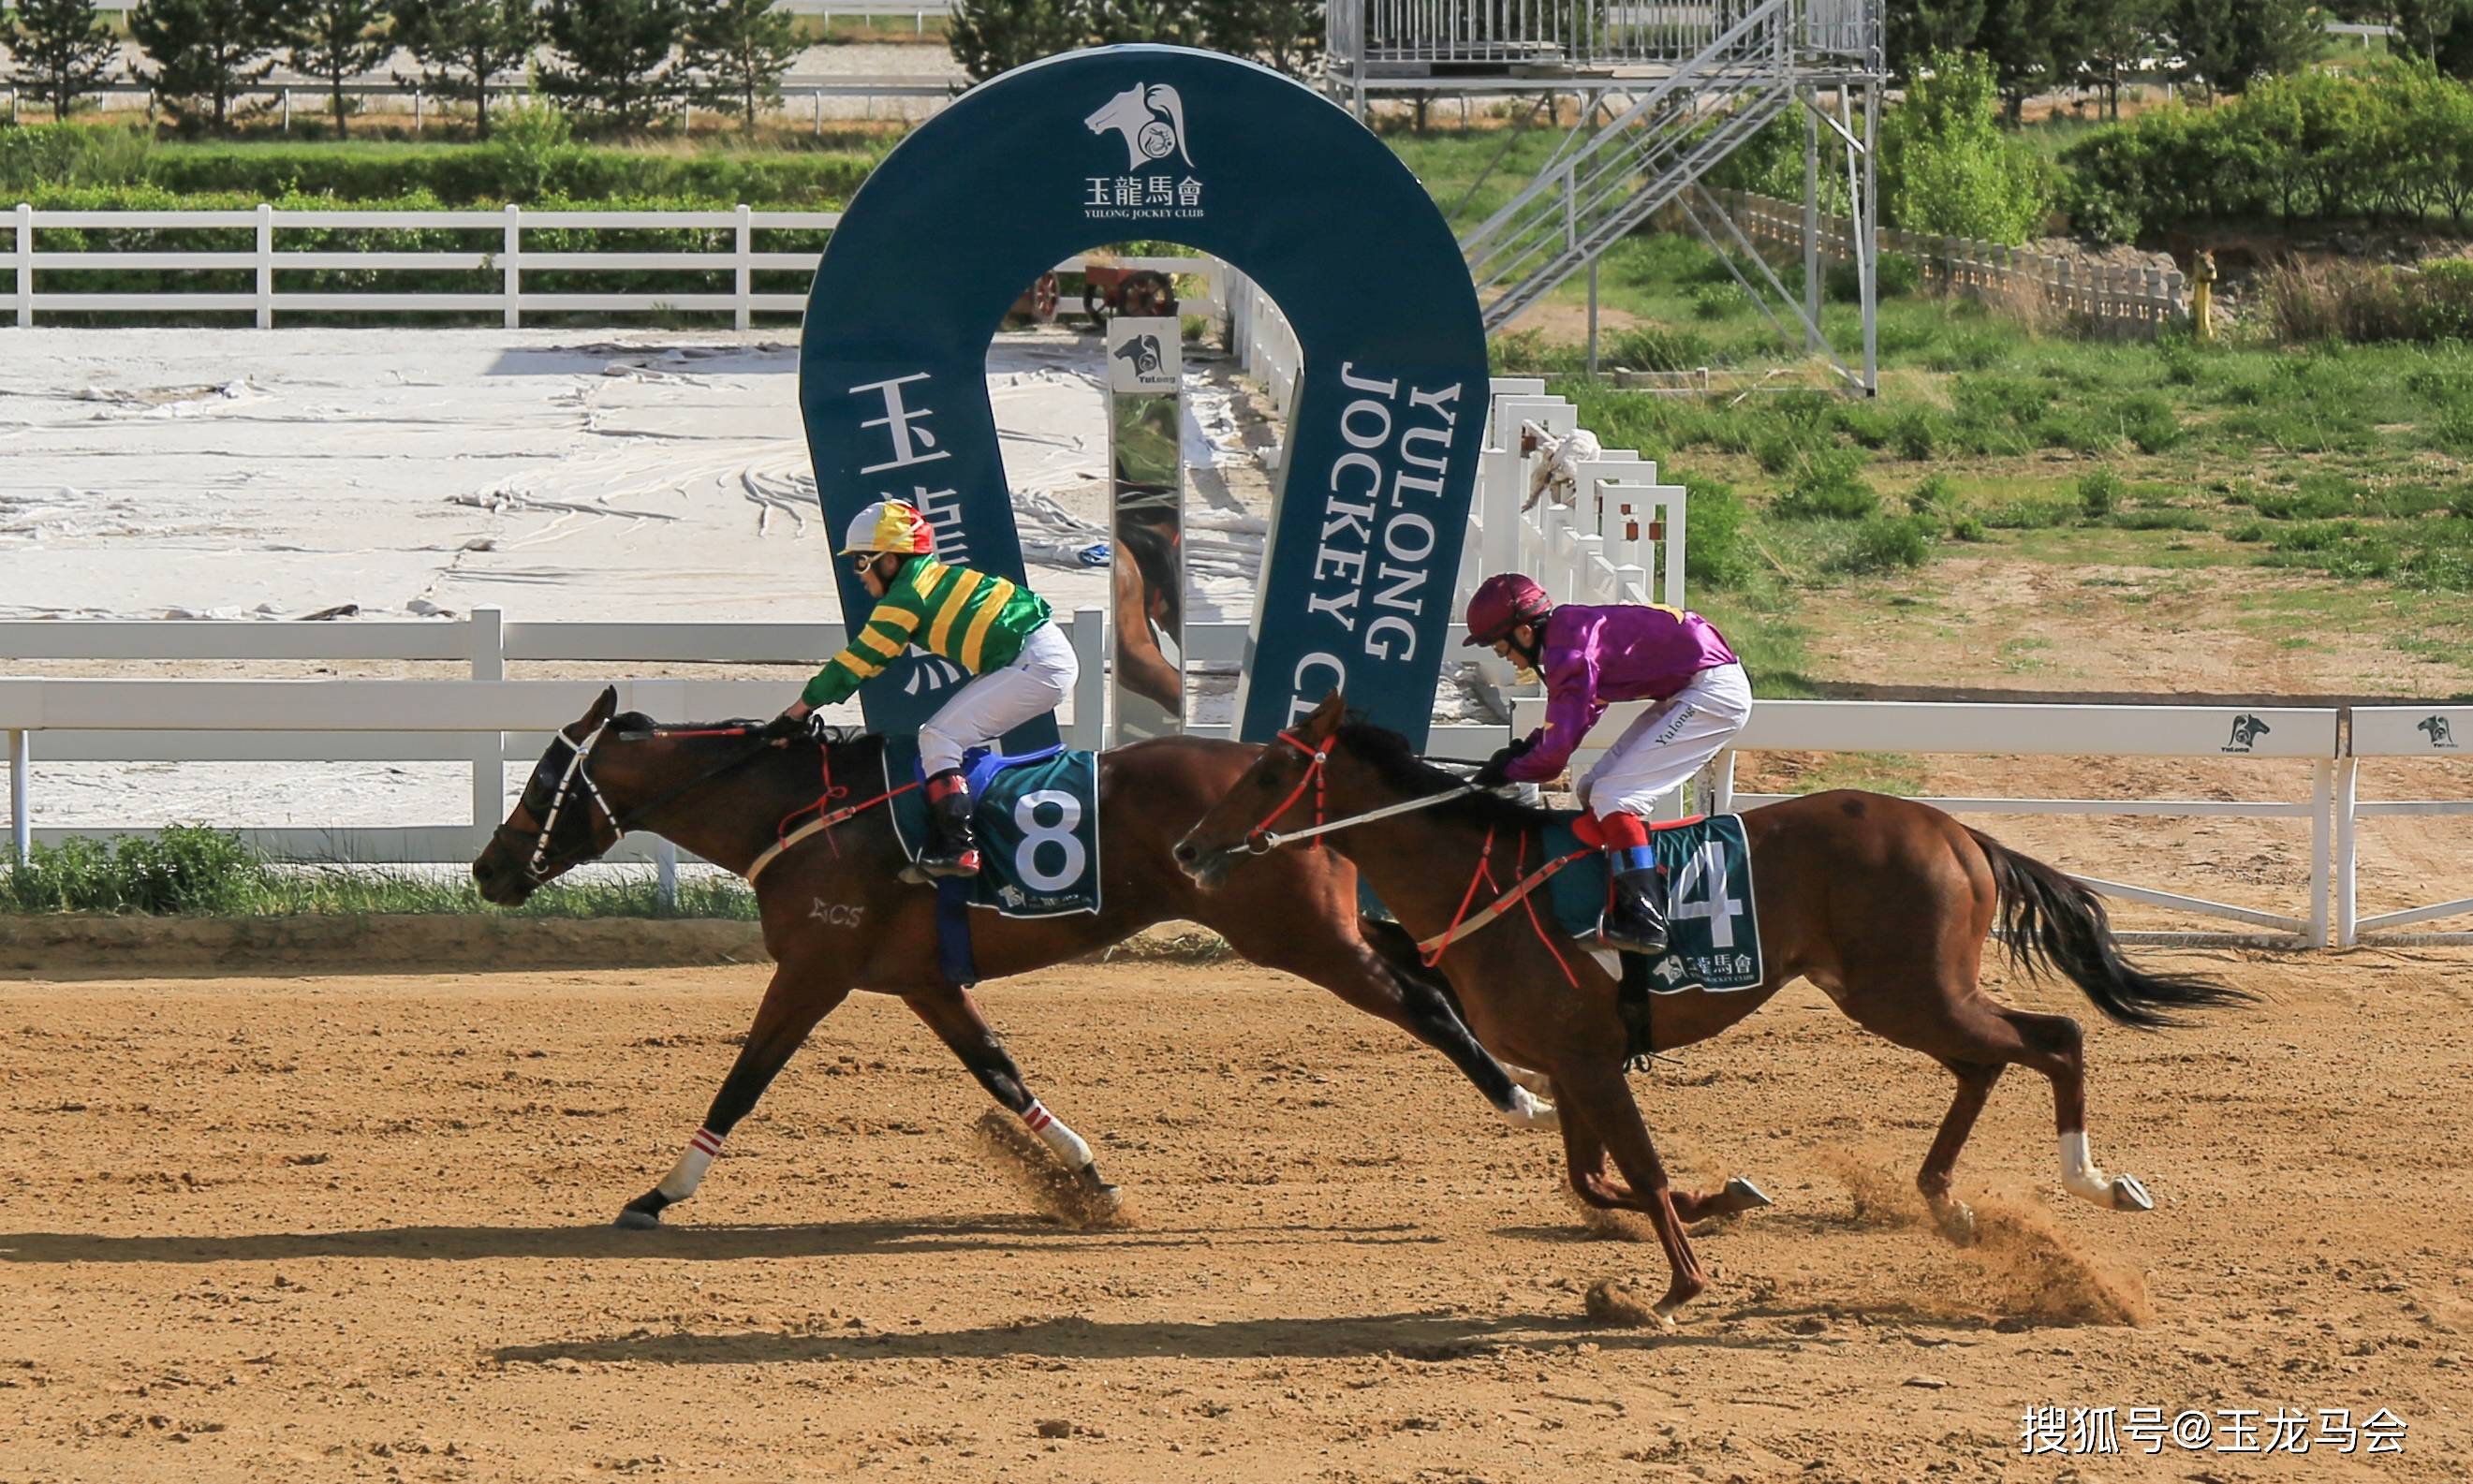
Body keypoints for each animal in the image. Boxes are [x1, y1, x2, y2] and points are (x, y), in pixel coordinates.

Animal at [469, 686, 1553, 1230]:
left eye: (541, 782)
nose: (488, 868)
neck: (799, 811)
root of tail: (1294, 770)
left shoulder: (814, 971)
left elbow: (741, 1081)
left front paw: (659, 1194)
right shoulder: (923, 981)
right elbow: (998, 1070)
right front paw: (1085, 1176)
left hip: (1298, 934)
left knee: (1424, 1000)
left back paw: (1522, 1099)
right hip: (1321, 922)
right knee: (1420, 960)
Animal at [1172, 692, 2253, 1326]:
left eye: (1271, 771)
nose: (1187, 848)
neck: (1481, 880)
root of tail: (1958, 831)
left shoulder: (1588, 1061)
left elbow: (1637, 1174)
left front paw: (1675, 1285)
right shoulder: (1569, 1061)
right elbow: (1593, 1178)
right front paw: (1726, 1198)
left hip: (1910, 988)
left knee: (2052, 1038)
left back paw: (2095, 1183)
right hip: (1896, 991)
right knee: (1991, 1059)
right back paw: (1945, 1201)